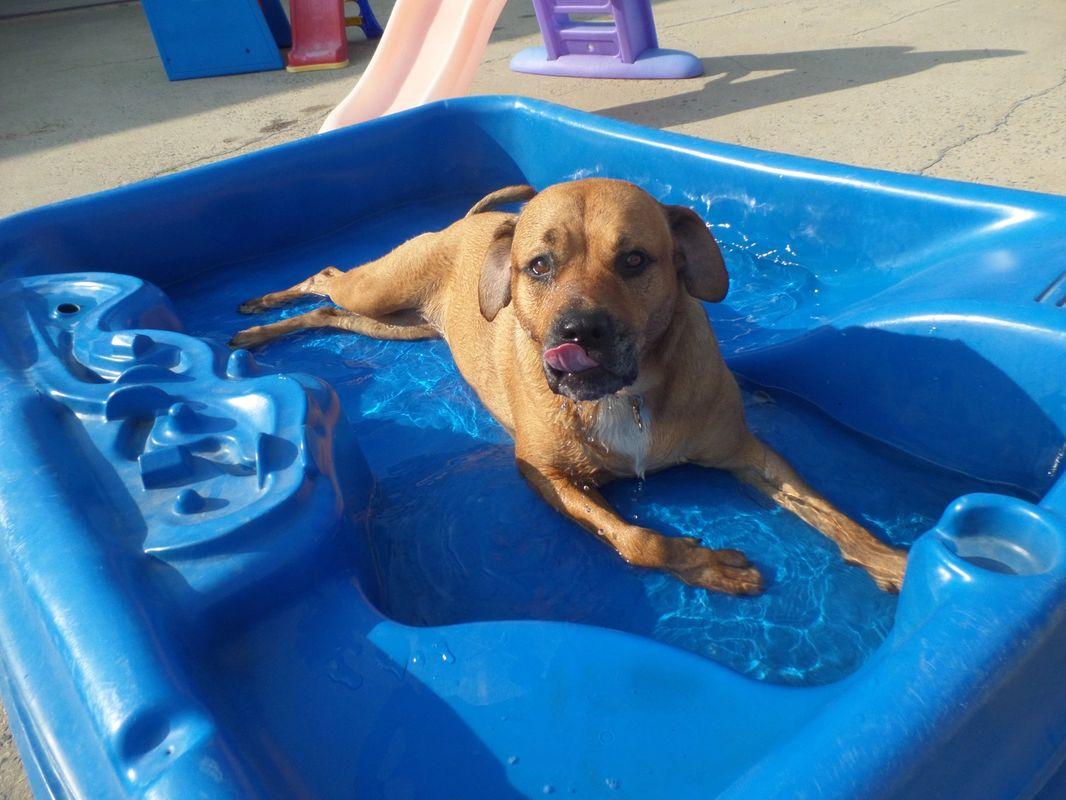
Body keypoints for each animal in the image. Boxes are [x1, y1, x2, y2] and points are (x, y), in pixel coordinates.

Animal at [233, 180, 908, 597]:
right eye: (539, 266)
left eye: (635, 260)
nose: (578, 331)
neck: (625, 398)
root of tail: (473, 222)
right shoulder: (547, 477)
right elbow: (637, 540)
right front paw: (705, 565)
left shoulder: (747, 454)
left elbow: (830, 511)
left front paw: (892, 559)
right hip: (377, 292)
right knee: (326, 276)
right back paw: (262, 309)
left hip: (393, 324)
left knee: (328, 312)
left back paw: (264, 329)